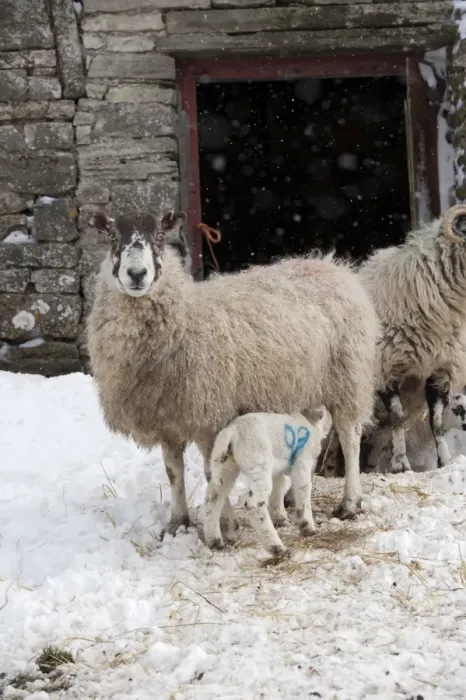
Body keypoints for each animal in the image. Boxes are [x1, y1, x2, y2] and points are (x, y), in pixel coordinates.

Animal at [87, 209, 379, 536]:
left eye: (160, 236)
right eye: (112, 236)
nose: (137, 274)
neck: (183, 317)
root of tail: (330, 264)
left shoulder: (209, 414)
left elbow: (211, 472)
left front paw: (224, 524)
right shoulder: (168, 418)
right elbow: (173, 472)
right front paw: (177, 522)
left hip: (348, 377)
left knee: (350, 437)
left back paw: (350, 503)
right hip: (305, 385)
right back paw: (291, 497)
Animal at [203, 407, 332, 555]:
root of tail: (233, 431)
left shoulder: (278, 470)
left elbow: (279, 487)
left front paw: (281, 517)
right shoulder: (303, 461)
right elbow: (303, 489)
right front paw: (308, 527)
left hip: (226, 465)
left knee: (213, 497)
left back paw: (215, 541)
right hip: (259, 462)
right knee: (254, 504)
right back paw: (276, 546)